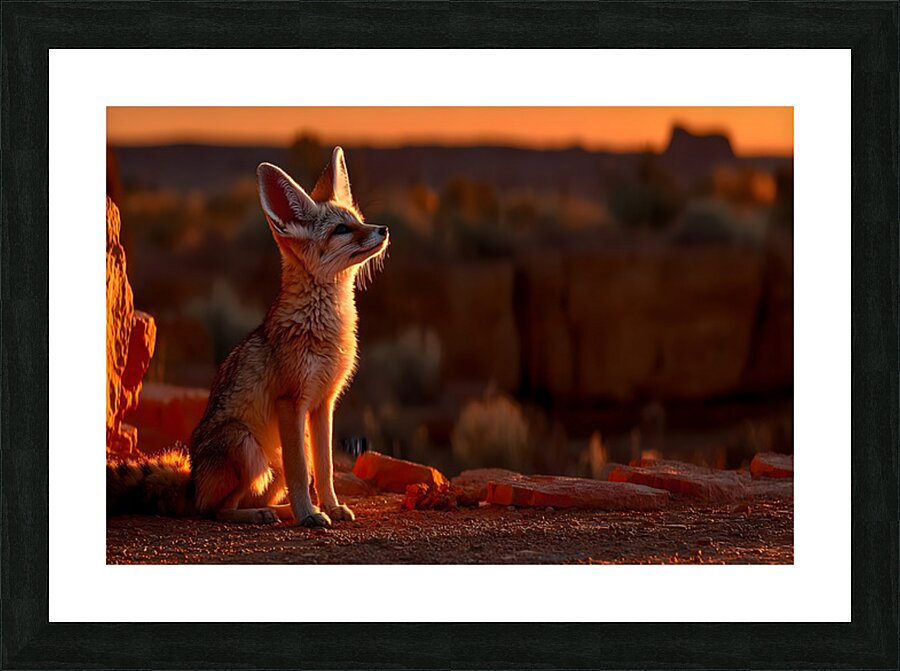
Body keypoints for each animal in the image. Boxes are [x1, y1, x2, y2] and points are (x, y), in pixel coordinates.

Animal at [107, 148, 388, 527]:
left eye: (359, 219)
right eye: (342, 230)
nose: (383, 229)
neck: (324, 326)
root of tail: (192, 484)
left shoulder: (323, 404)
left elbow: (323, 469)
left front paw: (329, 508)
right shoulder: (291, 401)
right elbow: (302, 471)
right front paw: (309, 514)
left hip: (272, 457)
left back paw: (281, 511)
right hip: (246, 445)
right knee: (215, 510)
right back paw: (265, 514)